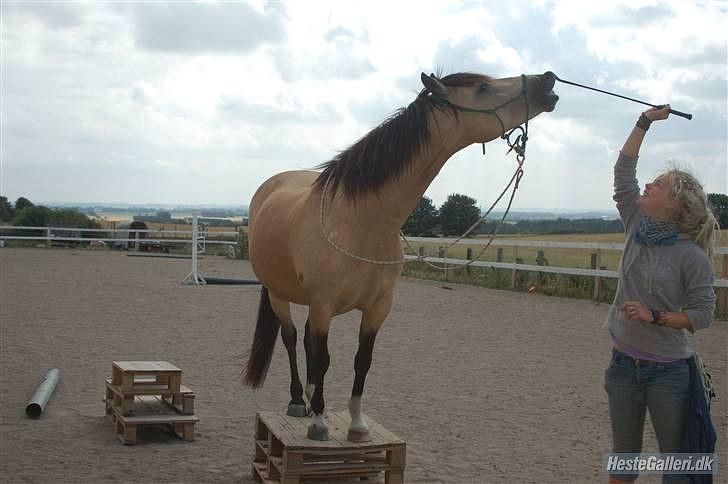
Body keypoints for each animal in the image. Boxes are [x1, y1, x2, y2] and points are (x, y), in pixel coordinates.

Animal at [243, 71, 559, 442]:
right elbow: (323, 359)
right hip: (279, 294)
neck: (360, 220)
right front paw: (320, 422)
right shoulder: (323, 303)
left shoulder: (378, 307)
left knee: (306, 340)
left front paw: (356, 424)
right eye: (483, 87)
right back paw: (298, 401)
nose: (547, 81)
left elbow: (361, 360)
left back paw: (308, 396)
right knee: (292, 338)